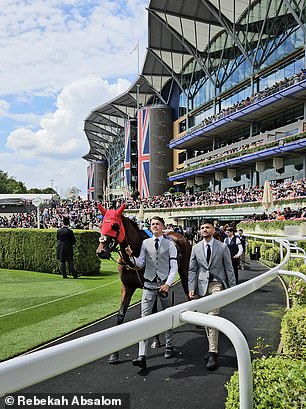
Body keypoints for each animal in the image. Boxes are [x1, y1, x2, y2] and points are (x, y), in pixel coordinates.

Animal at [96, 202, 191, 362]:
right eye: (101, 225)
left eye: (115, 226)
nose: (101, 251)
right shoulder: (127, 287)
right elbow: (121, 315)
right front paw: (114, 354)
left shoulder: (148, 285)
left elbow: (152, 312)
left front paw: (156, 341)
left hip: (184, 271)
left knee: (187, 291)